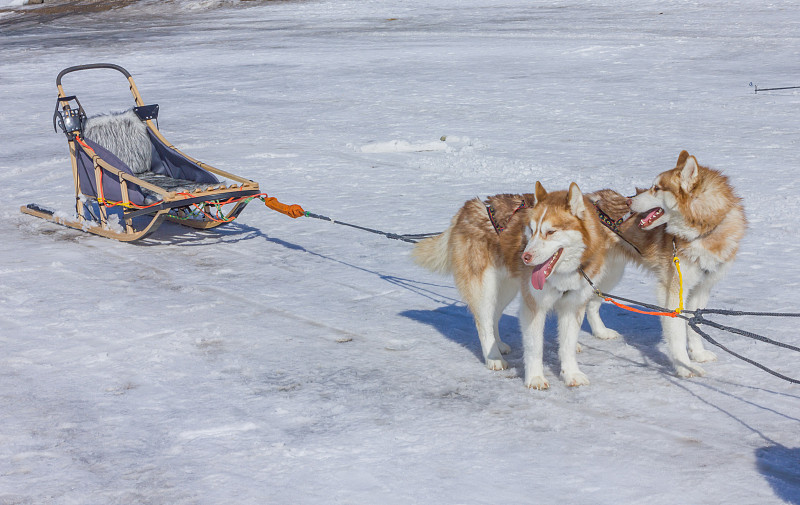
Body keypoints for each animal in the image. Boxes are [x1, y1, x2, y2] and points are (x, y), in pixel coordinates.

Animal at [416, 183, 628, 388]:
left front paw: (572, 374)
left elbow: (567, 346)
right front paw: (535, 378)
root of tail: (469, 206)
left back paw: (498, 345)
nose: (525, 257)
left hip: (506, 289)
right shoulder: (534, 306)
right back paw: (493, 357)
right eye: (531, 231)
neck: (562, 273)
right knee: (483, 323)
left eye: (550, 232)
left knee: (494, 316)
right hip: (485, 290)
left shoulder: (572, 306)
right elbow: (535, 347)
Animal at [628, 149, 748, 374]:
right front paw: (684, 366)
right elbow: (676, 333)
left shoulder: (701, 288)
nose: (628, 201)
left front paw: (698, 354)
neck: (704, 231)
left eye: (656, 188)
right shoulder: (672, 291)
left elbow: (694, 325)